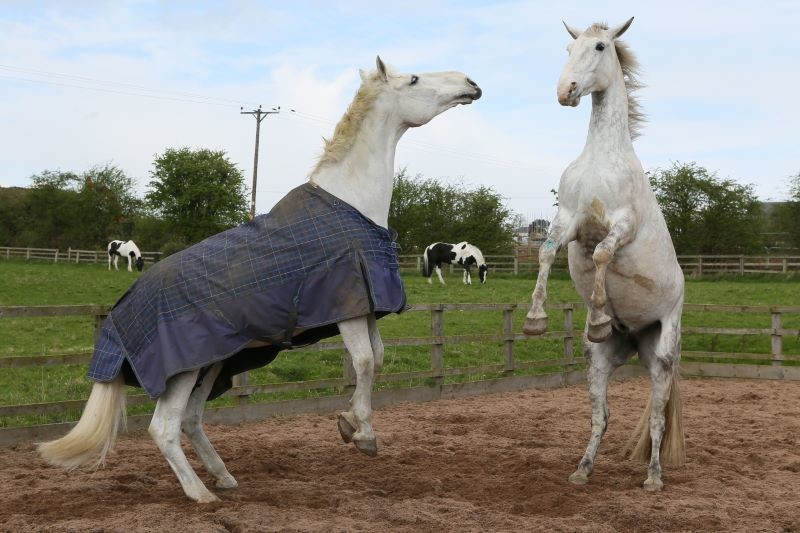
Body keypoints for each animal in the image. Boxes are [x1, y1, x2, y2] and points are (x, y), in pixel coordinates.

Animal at [38, 56, 481, 503]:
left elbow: (378, 358)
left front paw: (358, 426)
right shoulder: (349, 309)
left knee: (191, 419)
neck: (351, 204)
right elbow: (365, 362)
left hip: (212, 363)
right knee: (164, 427)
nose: (471, 83)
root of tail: (123, 309)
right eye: (414, 79)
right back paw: (201, 494)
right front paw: (357, 432)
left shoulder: (366, 308)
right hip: (182, 371)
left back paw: (224, 477)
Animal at [522, 18, 685, 492]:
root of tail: (636, 338)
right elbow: (546, 254)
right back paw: (583, 469)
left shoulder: (621, 225)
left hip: (662, 356)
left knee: (656, 420)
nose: (566, 91)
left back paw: (653, 479)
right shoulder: (570, 220)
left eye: (599, 46)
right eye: (567, 48)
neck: (602, 158)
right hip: (601, 361)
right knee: (602, 416)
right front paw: (535, 320)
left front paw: (596, 317)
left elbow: (602, 256)